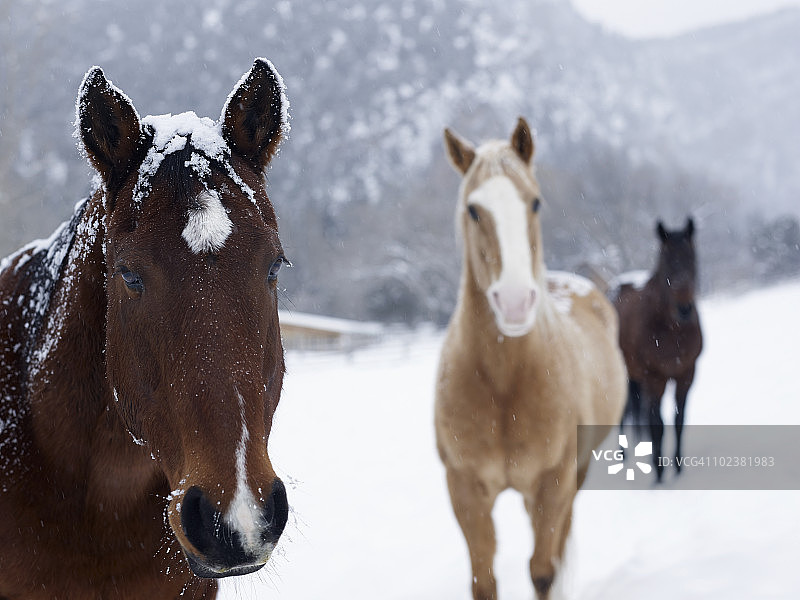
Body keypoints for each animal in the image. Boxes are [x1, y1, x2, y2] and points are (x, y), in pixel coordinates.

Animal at [435, 118, 626, 600]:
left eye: (535, 201)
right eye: (473, 210)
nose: (516, 302)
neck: (505, 385)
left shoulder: (553, 481)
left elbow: (543, 570)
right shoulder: (464, 489)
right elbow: (483, 582)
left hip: (573, 475)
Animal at [613, 218, 703, 482]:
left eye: (692, 258)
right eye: (666, 263)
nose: (684, 309)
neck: (672, 330)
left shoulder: (686, 374)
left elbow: (678, 420)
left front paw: (678, 466)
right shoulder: (655, 378)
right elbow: (658, 423)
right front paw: (659, 471)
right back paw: (623, 453)